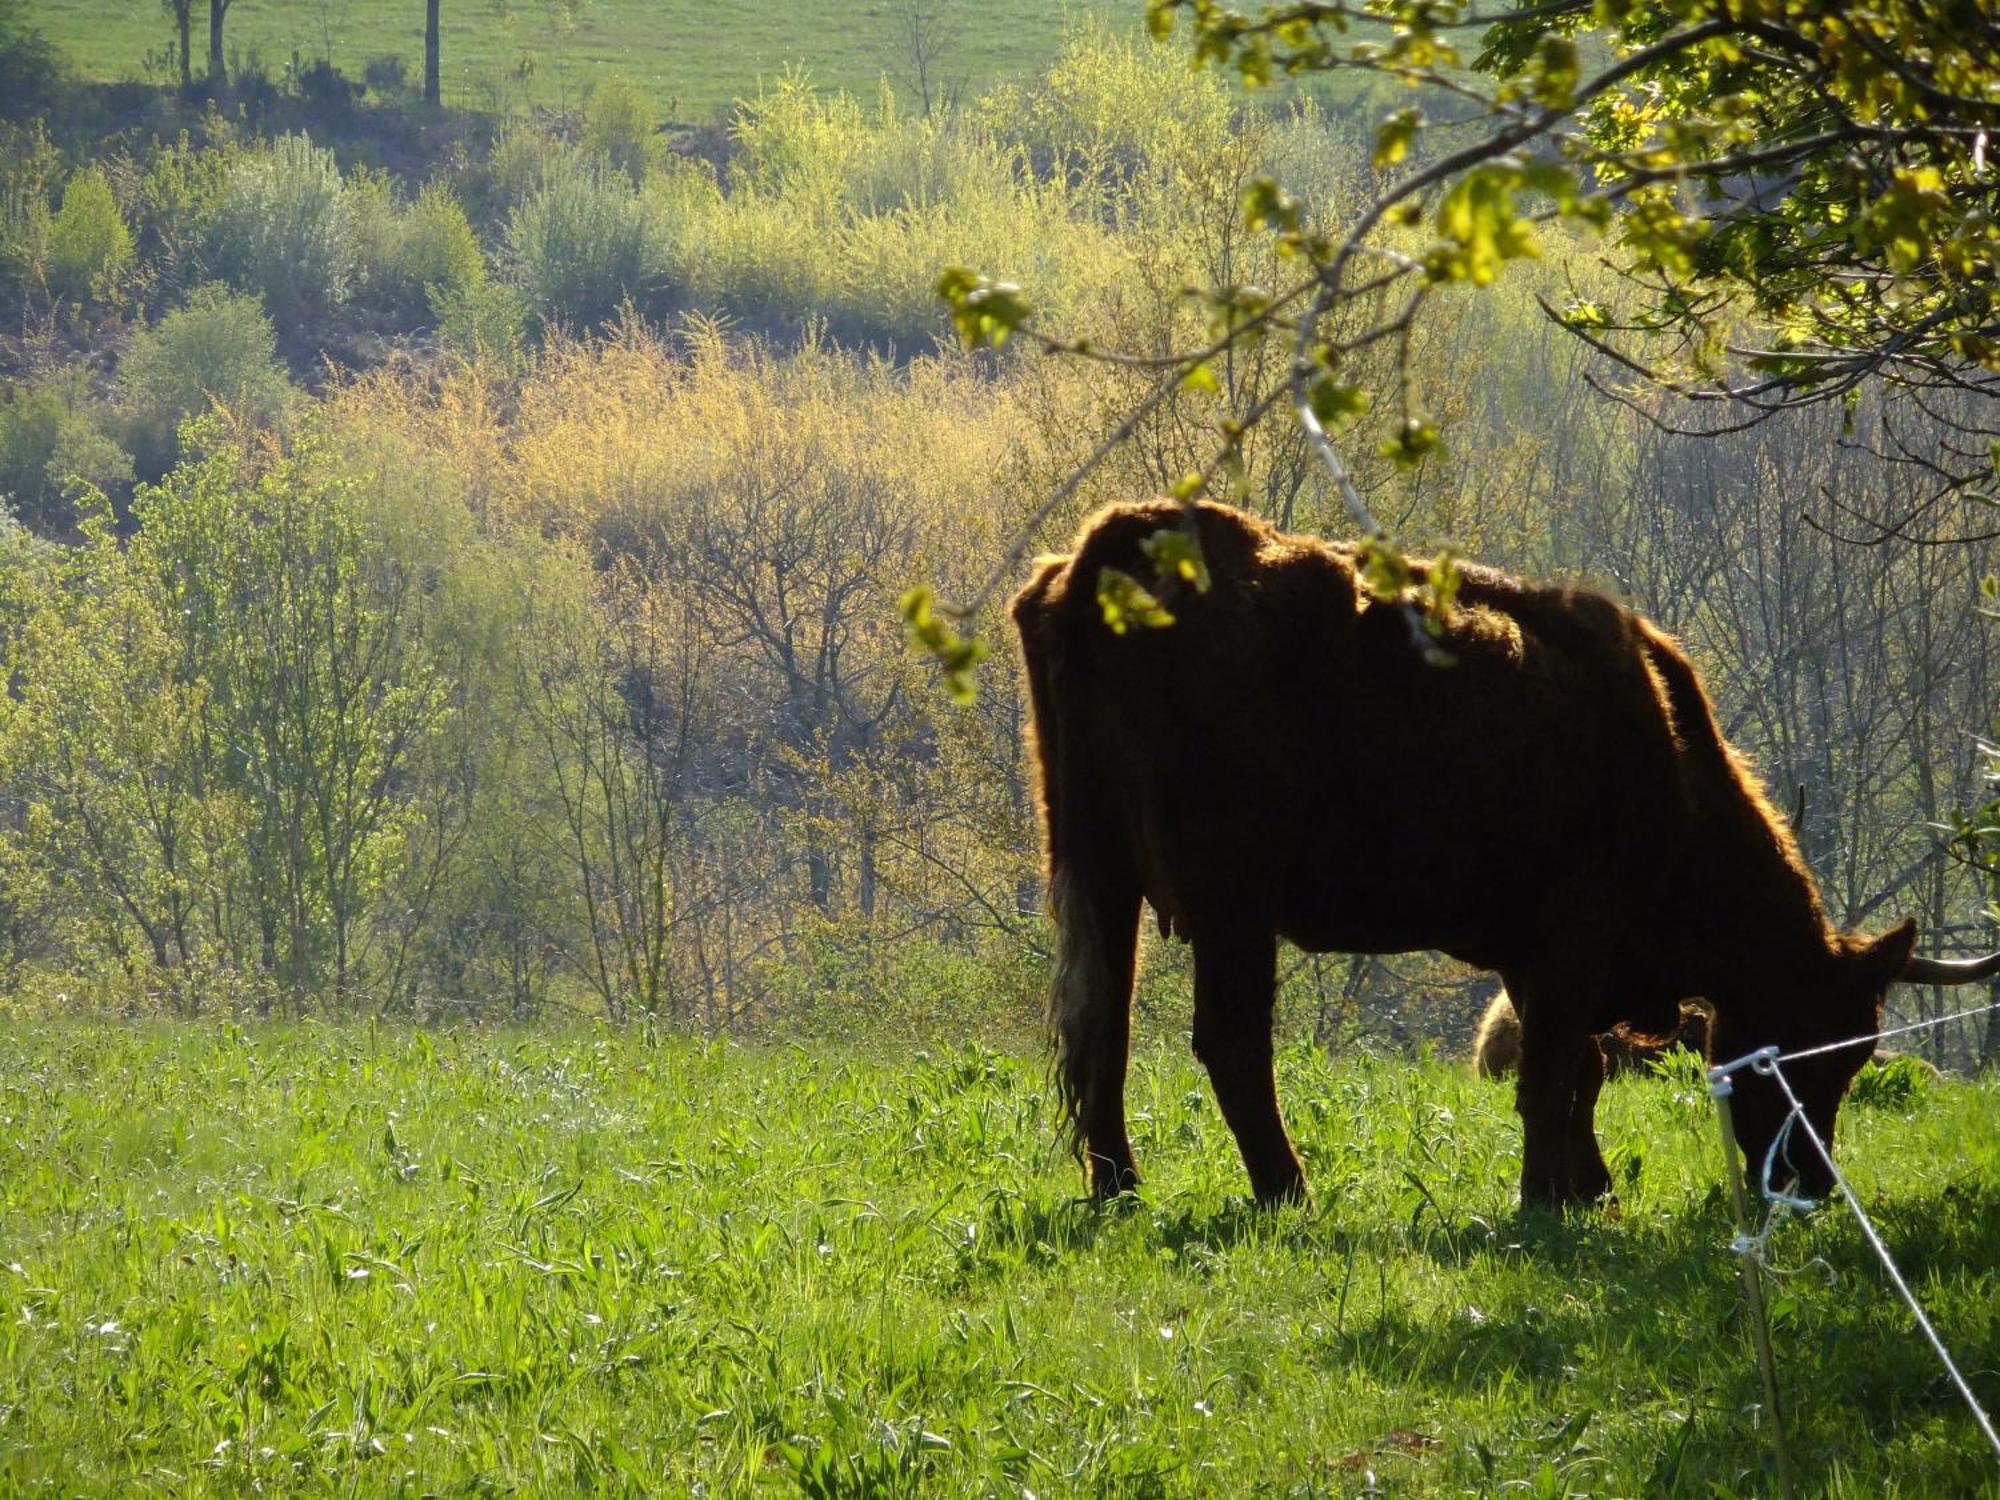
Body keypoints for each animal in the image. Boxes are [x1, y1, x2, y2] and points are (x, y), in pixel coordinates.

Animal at [1016, 502, 2000, 1208]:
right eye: (1812, 1052)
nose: (1811, 1186)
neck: (1666, 753)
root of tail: (1115, 540)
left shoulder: (1533, 954)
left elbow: (1579, 1074)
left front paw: (1587, 1190)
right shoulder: (1574, 932)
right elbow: (1551, 1071)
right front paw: (1542, 1201)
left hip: (1101, 876)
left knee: (1102, 1033)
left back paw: (1119, 1188)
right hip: (1231, 903)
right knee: (1229, 1042)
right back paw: (1288, 1191)